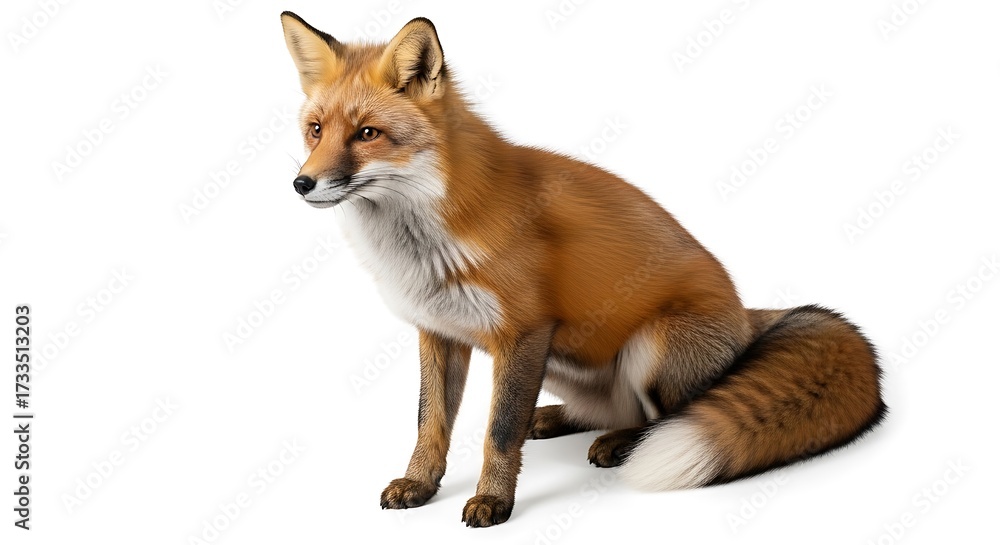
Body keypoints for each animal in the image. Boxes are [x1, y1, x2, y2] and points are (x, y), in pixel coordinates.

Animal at [279, 12, 886, 528]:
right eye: (315, 129)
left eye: (367, 134)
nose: (302, 184)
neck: (426, 242)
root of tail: (747, 317)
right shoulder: (439, 331)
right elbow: (432, 423)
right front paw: (420, 484)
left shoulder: (524, 330)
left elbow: (499, 431)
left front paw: (494, 500)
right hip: (563, 362)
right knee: (602, 408)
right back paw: (556, 419)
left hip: (650, 347)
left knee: (667, 416)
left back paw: (621, 444)